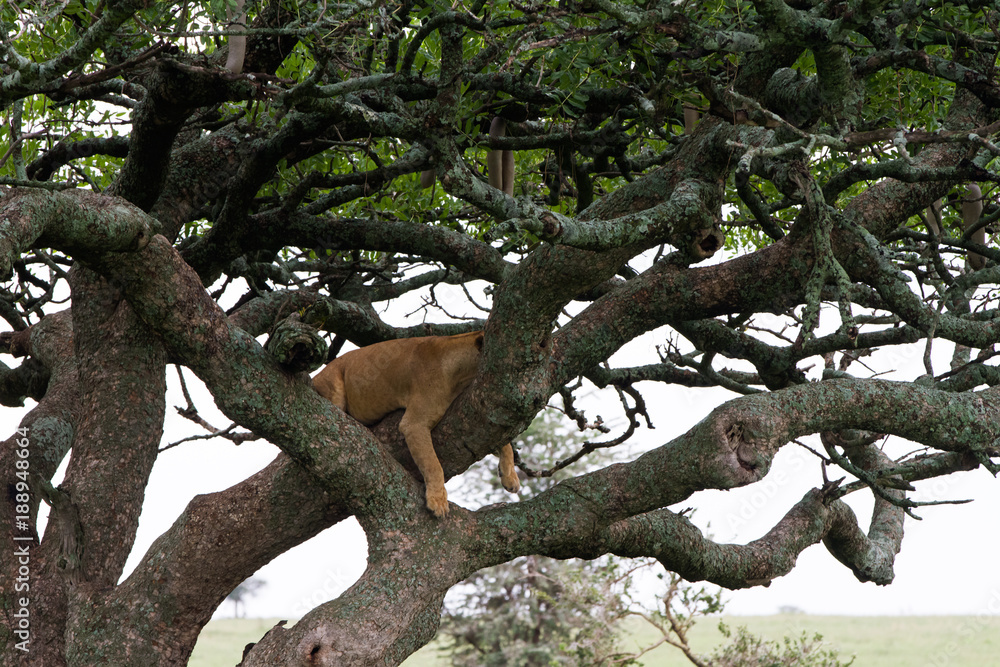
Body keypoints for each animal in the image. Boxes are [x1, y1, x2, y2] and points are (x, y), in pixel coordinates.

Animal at [313, 331, 520, 517]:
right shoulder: (414, 423)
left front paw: (510, 477)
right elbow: (433, 464)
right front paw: (438, 501)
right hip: (333, 386)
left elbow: (504, 441)